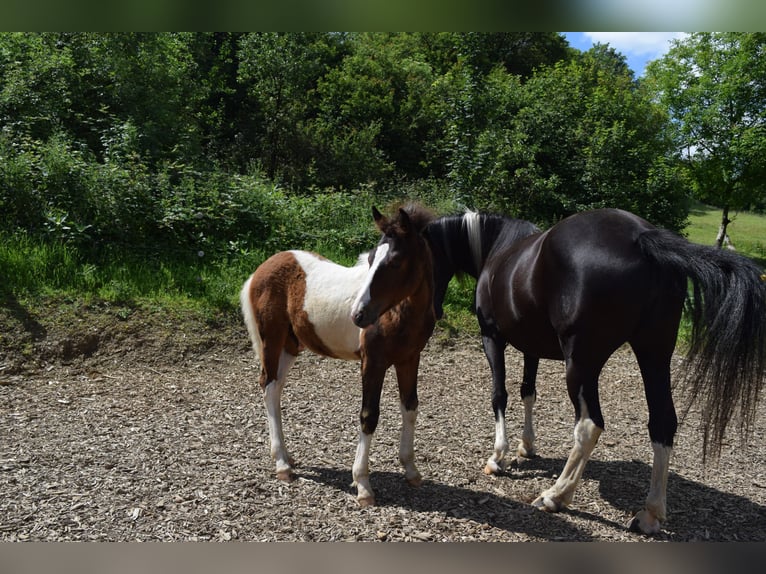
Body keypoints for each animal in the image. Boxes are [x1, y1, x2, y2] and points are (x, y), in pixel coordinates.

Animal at [244, 205, 438, 506]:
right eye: (370, 258)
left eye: (395, 261)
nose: (358, 315)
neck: (400, 313)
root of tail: (261, 270)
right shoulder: (373, 362)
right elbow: (369, 415)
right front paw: (363, 485)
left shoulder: (410, 358)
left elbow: (410, 407)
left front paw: (411, 470)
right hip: (271, 340)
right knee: (269, 385)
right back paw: (282, 465)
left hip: (290, 345)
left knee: (274, 388)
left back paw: (287, 457)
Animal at [428, 209, 764, 536]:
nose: (434, 312)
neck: (498, 248)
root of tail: (641, 237)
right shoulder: (530, 348)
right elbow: (528, 393)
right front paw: (527, 446)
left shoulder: (492, 338)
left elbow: (500, 395)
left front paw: (498, 457)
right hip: (654, 354)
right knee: (662, 422)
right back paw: (649, 515)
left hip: (581, 365)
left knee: (589, 426)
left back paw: (555, 495)